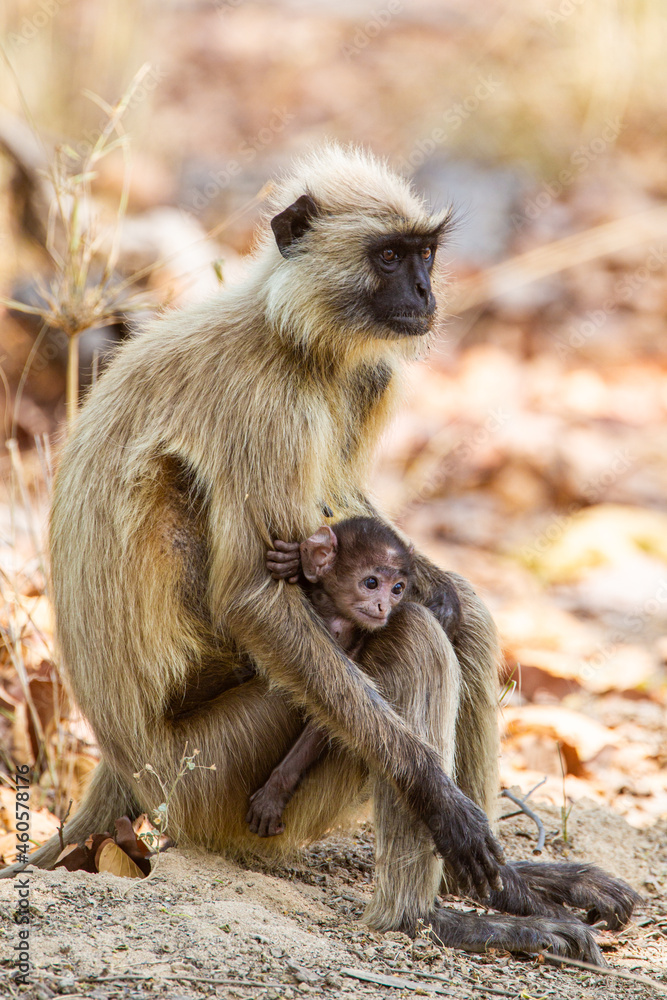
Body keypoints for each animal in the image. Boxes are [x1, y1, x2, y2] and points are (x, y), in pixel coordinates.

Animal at [247, 520, 412, 840]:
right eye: (371, 583)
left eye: (397, 589)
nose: (384, 607)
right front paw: (293, 563)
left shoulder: (358, 640)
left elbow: (331, 716)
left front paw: (274, 792)